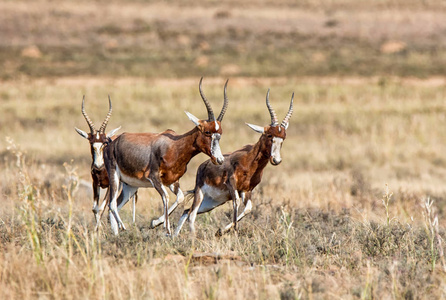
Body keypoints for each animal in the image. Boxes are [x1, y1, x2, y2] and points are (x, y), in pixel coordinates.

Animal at [74, 97, 137, 229]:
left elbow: (102, 207)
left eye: (104, 143)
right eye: (91, 143)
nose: (97, 166)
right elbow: (95, 208)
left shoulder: (110, 186)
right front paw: (97, 230)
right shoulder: (95, 183)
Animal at [104, 78, 228, 236]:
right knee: (112, 204)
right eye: (207, 132)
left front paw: (155, 223)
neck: (174, 145)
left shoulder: (172, 181)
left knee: (115, 205)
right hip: (114, 176)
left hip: (130, 185)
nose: (219, 159)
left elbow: (180, 198)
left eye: (220, 133)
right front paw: (167, 230)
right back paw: (123, 227)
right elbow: (166, 197)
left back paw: (116, 234)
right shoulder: (154, 178)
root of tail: (112, 143)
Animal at [174, 89, 292, 237]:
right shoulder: (232, 186)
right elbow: (236, 203)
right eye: (269, 135)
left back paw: (173, 236)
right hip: (200, 194)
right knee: (191, 214)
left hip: (212, 202)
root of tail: (203, 166)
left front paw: (221, 231)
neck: (248, 161)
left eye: (283, 138)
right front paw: (231, 231)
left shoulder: (246, 191)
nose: (276, 160)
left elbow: (248, 208)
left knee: (186, 211)